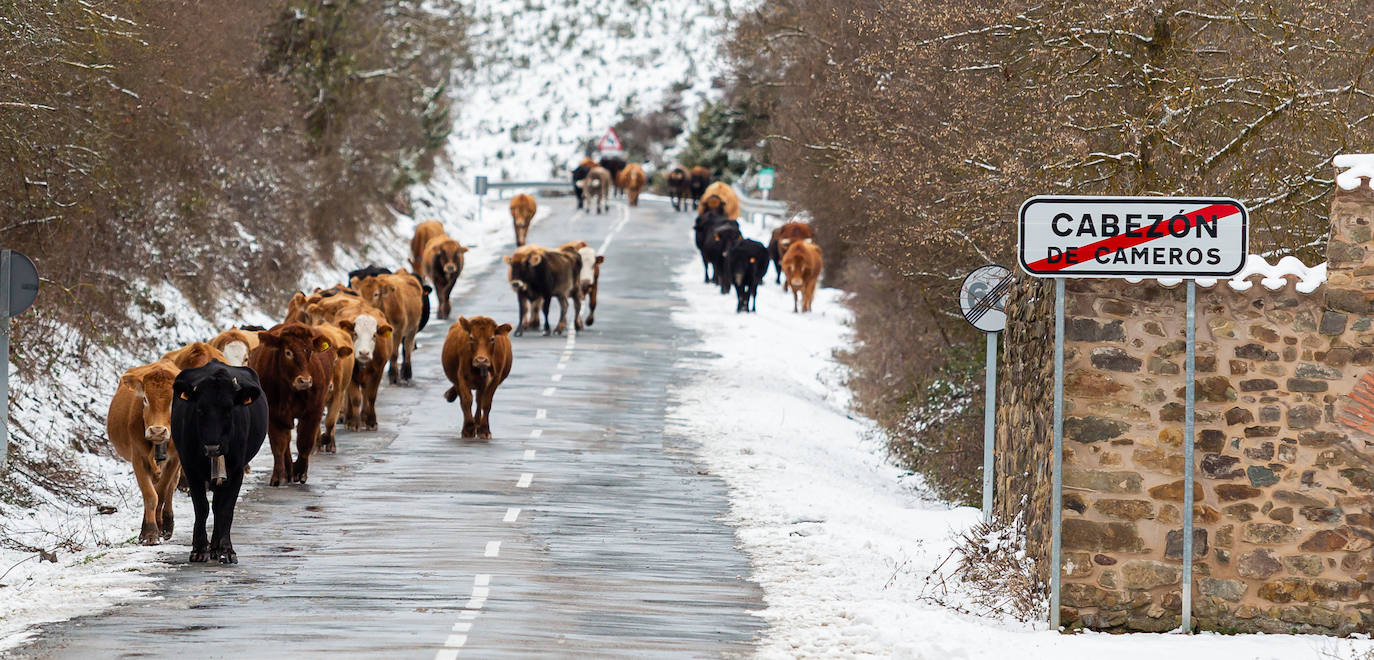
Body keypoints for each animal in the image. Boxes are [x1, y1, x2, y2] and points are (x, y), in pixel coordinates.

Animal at [107, 357, 181, 544]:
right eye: (146, 399)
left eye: (173, 401)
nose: (157, 431)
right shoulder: (138, 457)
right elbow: (150, 495)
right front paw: (149, 533)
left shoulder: (175, 458)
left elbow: (161, 492)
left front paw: (159, 528)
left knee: (171, 487)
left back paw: (166, 525)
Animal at [170, 357, 266, 563]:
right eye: (200, 409)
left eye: (229, 410)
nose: (213, 447)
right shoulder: (191, 469)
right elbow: (202, 507)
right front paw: (199, 549)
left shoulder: (237, 470)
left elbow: (226, 509)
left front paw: (226, 549)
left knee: (219, 507)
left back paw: (216, 547)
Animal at [247, 323, 335, 484]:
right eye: (288, 352)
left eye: (310, 351)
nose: (305, 381)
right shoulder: (274, 414)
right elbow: (279, 445)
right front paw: (279, 476)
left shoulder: (314, 412)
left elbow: (304, 441)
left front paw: (300, 472)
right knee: (286, 441)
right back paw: (288, 470)